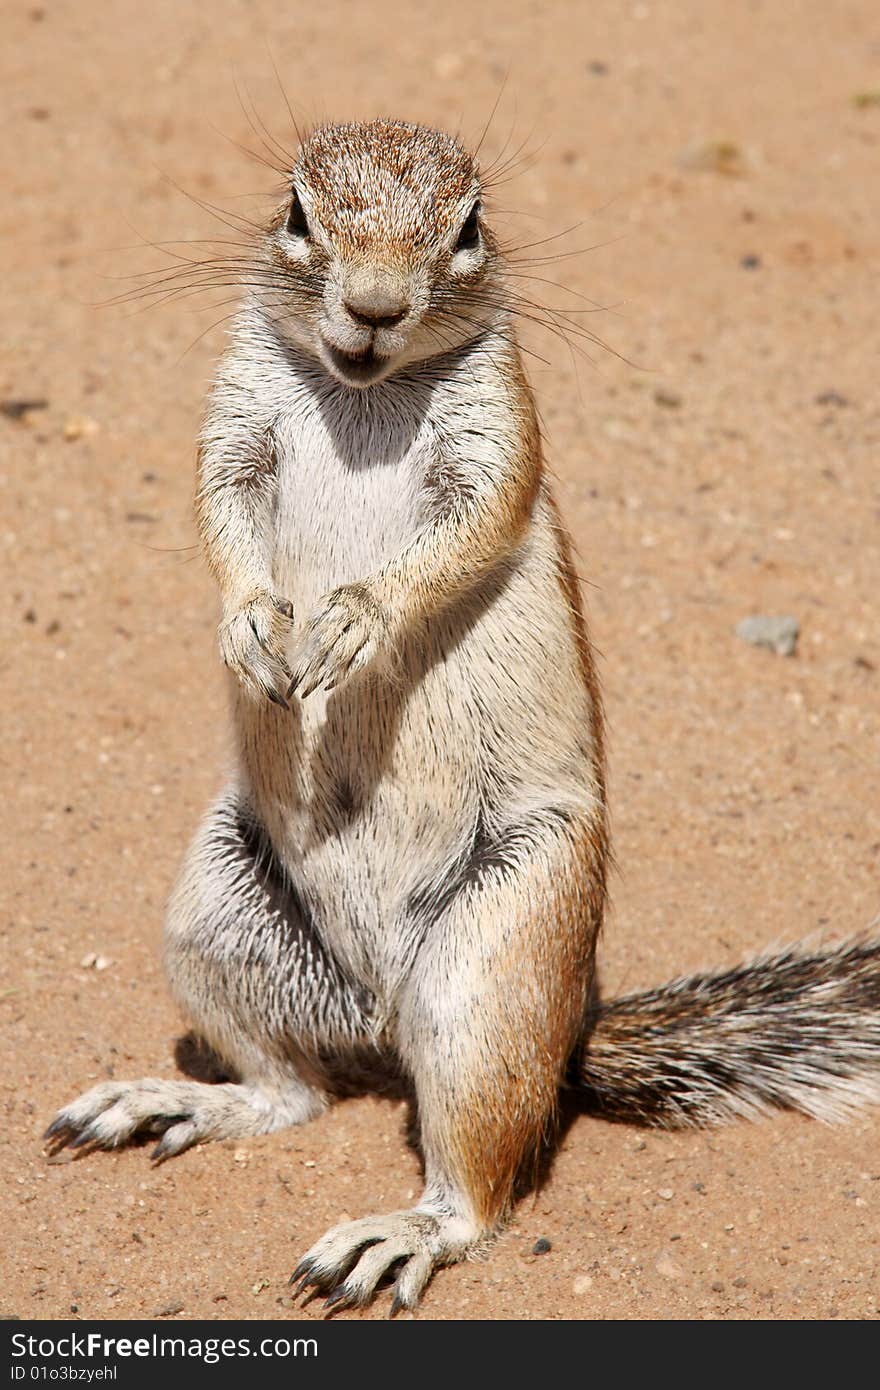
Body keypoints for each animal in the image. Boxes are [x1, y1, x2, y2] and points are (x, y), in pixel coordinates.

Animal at [44, 116, 878, 1312]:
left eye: (471, 227)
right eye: (295, 211)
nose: (375, 306)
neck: (360, 389)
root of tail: (380, 1011)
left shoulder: (498, 435)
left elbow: (470, 527)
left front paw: (351, 625)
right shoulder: (232, 418)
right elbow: (216, 511)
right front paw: (254, 628)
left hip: (495, 963)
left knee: (475, 1191)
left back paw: (397, 1234)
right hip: (215, 917)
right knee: (291, 1091)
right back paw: (175, 1098)